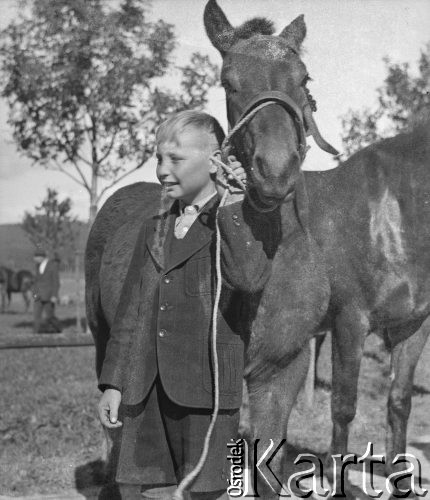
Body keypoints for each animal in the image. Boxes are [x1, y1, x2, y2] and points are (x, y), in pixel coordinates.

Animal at [85, 1, 428, 498]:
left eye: (303, 78)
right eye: (228, 81)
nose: (275, 170)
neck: (392, 213)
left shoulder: (404, 329)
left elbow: (395, 403)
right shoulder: (351, 321)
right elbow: (343, 408)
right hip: (103, 336)